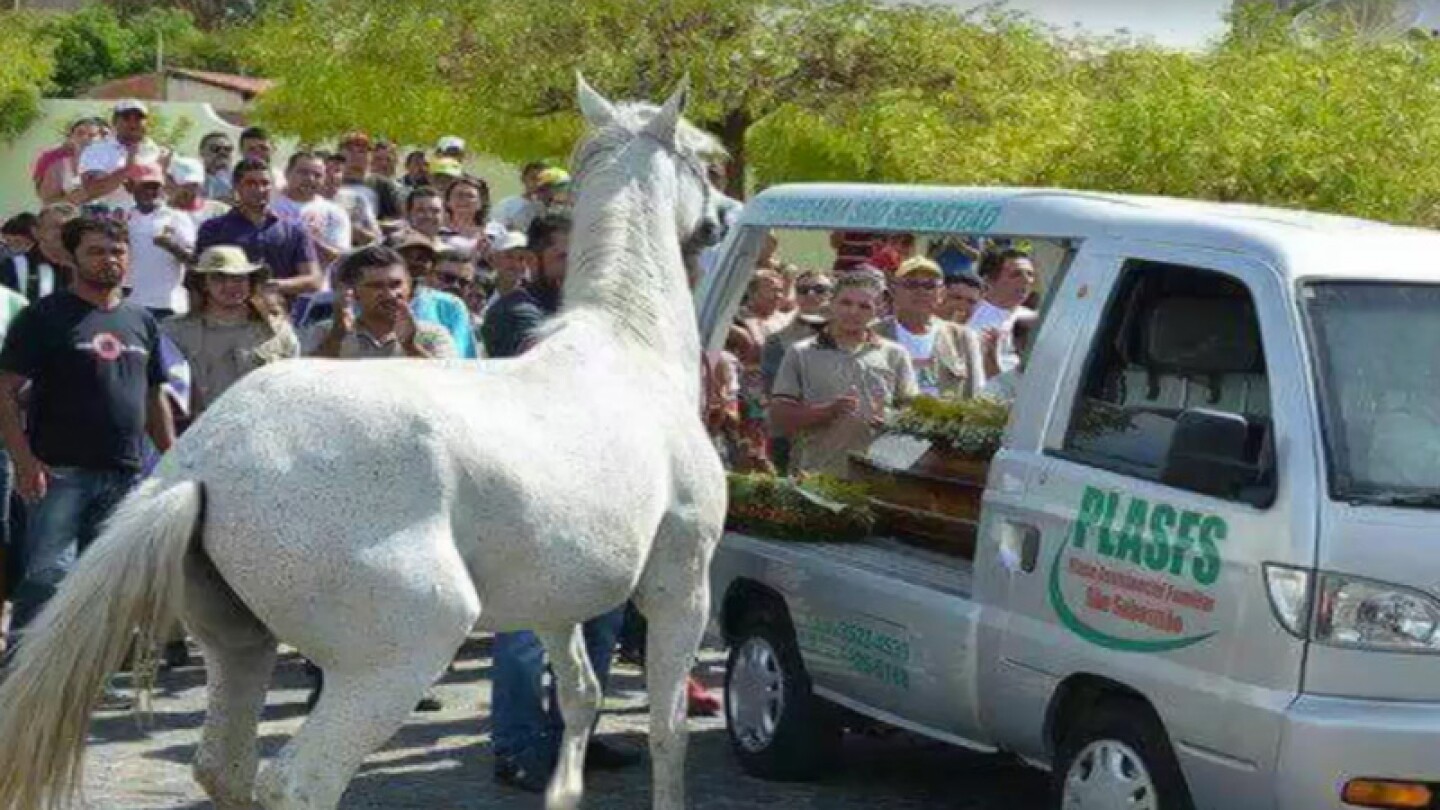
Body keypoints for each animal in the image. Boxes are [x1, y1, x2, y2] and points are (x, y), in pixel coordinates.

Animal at [0, 77, 725, 807]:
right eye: (706, 156)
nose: (722, 216)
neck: (629, 346)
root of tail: (200, 468)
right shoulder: (682, 581)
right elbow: (667, 728)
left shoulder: (555, 600)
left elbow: (580, 696)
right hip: (400, 655)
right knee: (298, 781)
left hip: (240, 647)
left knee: (222, 766)